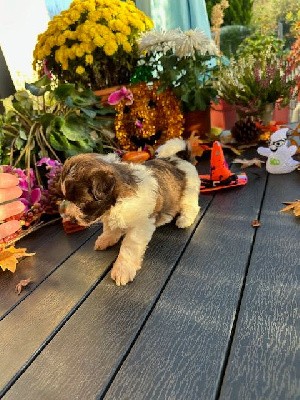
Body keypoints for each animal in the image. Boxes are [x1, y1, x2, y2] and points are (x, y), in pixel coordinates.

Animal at [59, 138, 200, 284]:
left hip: (189, 193)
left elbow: (129, 247)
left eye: (82, 203)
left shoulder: (140, 226)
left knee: (191, 206)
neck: (115, 203)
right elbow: (110, 228)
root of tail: (180, 159)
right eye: (65, 197)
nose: (69, 218)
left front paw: (122, 269)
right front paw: (106, 239)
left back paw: (184, 220)